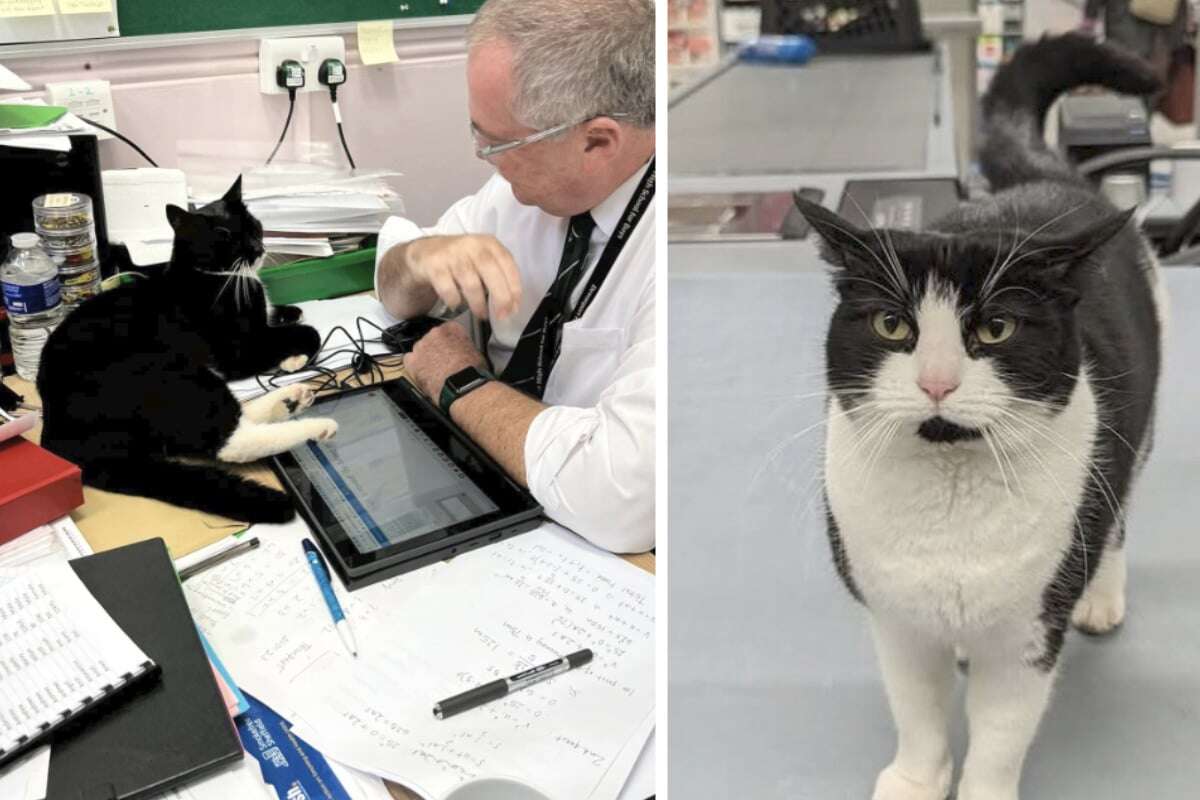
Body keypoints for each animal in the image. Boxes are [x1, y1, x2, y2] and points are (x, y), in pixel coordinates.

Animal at [37, 176, 338, 525]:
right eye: (224, 236)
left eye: (252, 225)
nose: (257, 248)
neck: (216, 276)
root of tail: (56, 432)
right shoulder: (241, 351)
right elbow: (309, 332)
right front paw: (295, 359)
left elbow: (283, 315)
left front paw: (290, 313)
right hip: (171, 372)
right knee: (227, 440)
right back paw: (316, 426)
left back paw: (291, 398)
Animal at [792, 32, 1166, 800]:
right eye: (892, 325)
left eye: (996, 329)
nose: (936, 381)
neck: (949, 501)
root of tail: (1047, 183)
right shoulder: (897, 624)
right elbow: (918, 713)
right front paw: (914, 780)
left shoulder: (1027, 635)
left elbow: (998, 738)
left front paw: (979, 785)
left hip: (1133, 441)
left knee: (1117, 518)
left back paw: (1102, 598)